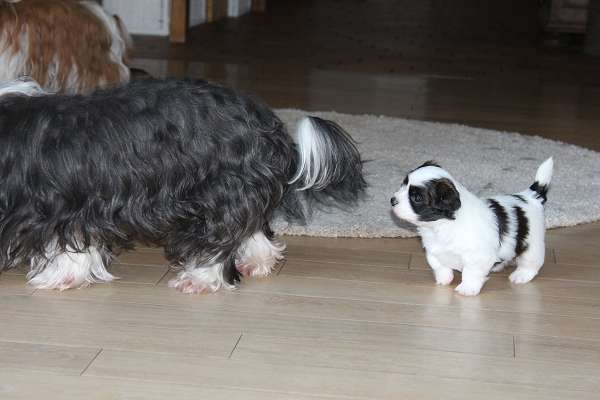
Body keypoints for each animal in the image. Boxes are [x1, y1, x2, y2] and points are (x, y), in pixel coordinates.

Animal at [0, 77, 366, 294]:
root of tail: (266, 125)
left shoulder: (59, 207)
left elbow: (64, 244)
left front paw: (55, 278)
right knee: (252, 227)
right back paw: (257, 261)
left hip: (217, 193)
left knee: (219, 238)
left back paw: (199, 279)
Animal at [391, 158, 553, 296]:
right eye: (403, 184)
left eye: (416, 198)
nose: (392, 200)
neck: (443, 225)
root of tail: (531, 196)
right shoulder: (433, 252)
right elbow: (439, 266)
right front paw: (444, 279)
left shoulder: (476, 257)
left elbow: (470, 273)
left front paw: (467, 289)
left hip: (532, 246)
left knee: (531, 263)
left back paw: (521, 275)